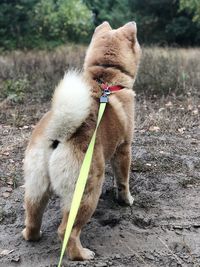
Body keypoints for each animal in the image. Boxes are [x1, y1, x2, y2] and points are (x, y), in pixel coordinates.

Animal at [22, 21, 141, 262]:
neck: (106, 78)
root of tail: (57, 135)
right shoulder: (124, 149)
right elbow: (123, 181)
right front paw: (126, 200)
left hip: (36, 187)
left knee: (32, 218)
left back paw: (32, 235)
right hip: (87, 191)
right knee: (67, 231)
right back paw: (81, 254)